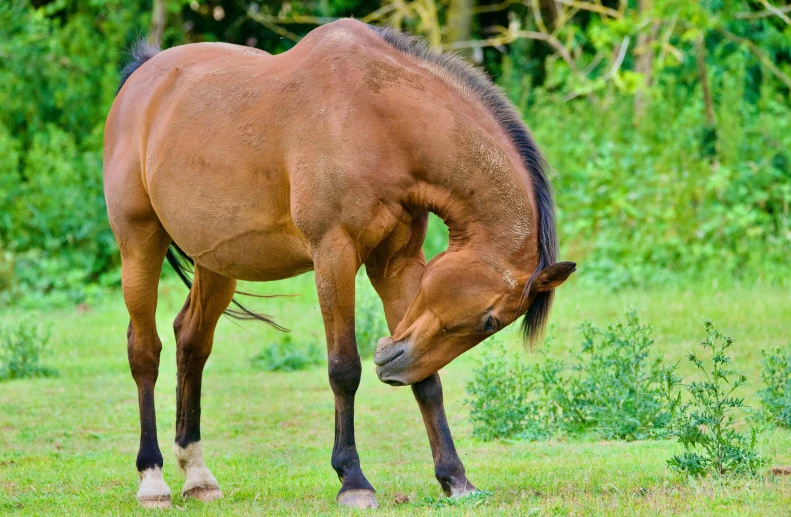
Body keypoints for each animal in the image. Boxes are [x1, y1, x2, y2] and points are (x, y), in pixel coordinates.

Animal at [105, 19, 576, 508]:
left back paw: (198, 476)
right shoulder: (334, 254)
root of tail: (143, 77)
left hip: (216, 263)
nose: (393, 366)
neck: (382, 120)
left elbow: (429, 381)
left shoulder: (397, 264)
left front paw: (455, 477)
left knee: (192, 343)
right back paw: (152, 478)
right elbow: (344, 368)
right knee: (145, 351)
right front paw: (353, 480)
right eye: (489, 321)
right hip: (139, 244)